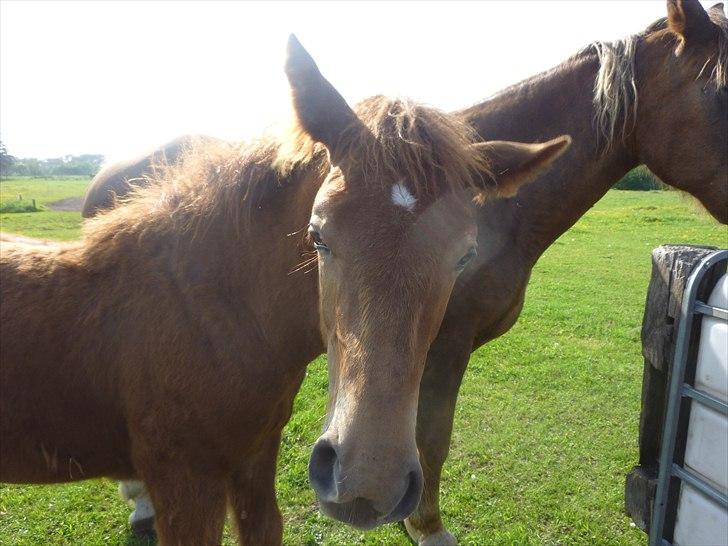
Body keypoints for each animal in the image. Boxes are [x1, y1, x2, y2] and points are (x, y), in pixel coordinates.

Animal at [0, 36, 568, 540]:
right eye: (317, 235)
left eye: (466, 255)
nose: (368, 485)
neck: (205, 316)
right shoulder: (183, 478)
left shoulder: (255, 456)